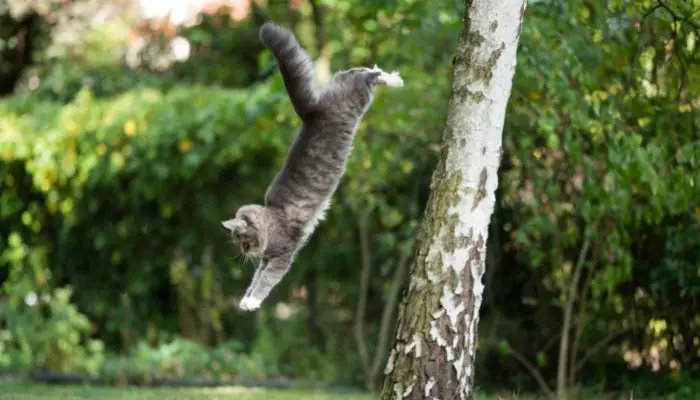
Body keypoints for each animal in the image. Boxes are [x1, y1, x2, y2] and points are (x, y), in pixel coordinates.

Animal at [219, 21, 404, 312]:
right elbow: (255, 279)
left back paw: (395, 80)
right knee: (356, 71)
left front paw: (252, 302)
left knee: (371, 76)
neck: (270, 221)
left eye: (242, 240)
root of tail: (310, 112)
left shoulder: (283, 255)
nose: (244, 253)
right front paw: (245, 300)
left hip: (357, 98)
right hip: (345, 86)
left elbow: (265, 281)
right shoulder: (268, 259)